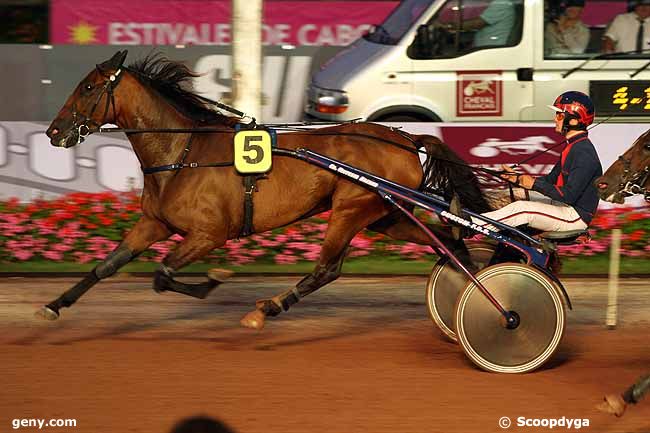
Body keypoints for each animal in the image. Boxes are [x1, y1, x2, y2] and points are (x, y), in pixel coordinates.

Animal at [36, 49, 486, 328]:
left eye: (88, 88)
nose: (53, 131)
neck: (183, 152)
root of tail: (407, 139)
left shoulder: (209, 233)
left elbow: (162, 275)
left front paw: (213, 279)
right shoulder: (154, 224)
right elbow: (106, 266)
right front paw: (53, 306)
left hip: (352, 209)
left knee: (327, 268)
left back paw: (268, 308)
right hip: (386, 214)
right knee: (447, 240)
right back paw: (472, 288)